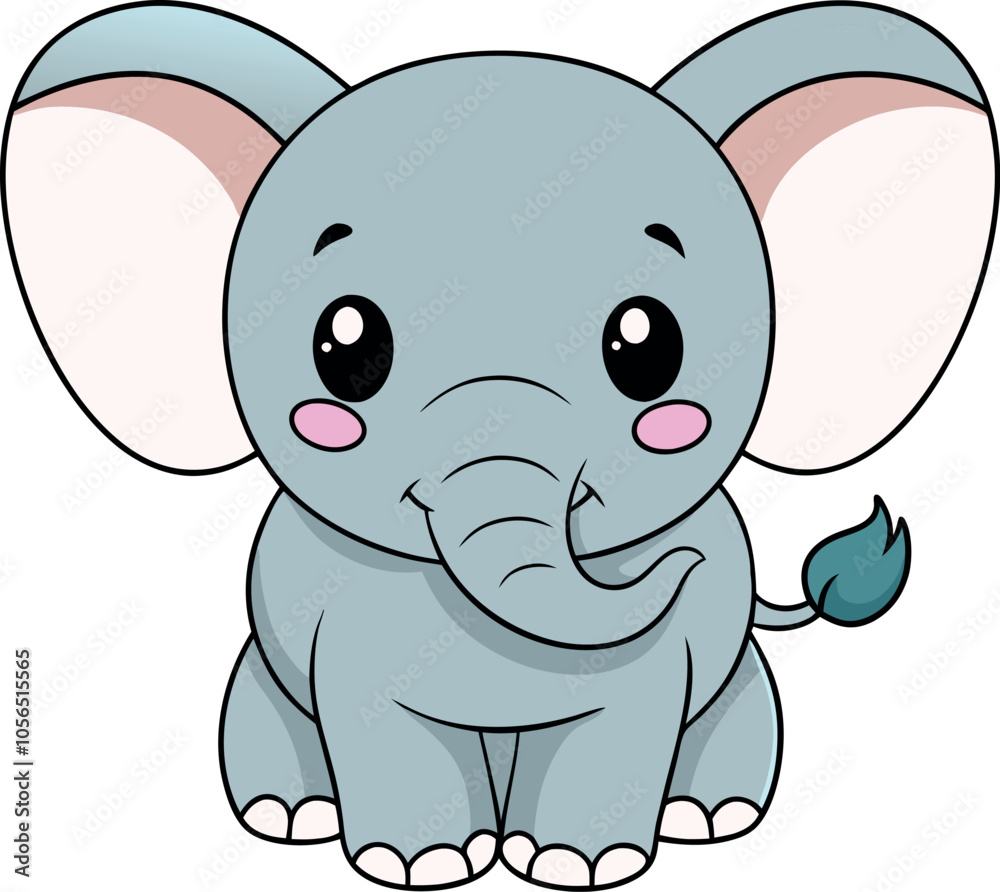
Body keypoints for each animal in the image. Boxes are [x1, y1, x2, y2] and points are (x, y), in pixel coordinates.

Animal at [3, 1, 996, 887]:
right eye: (345, 346)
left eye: (649, 347)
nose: (680, 569)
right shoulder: (347, 625)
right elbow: (372, 713)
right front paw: (425, 865)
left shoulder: (657, 656)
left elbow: (628, 713)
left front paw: (574, 866)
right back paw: (292, 815)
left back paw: (706, 816)